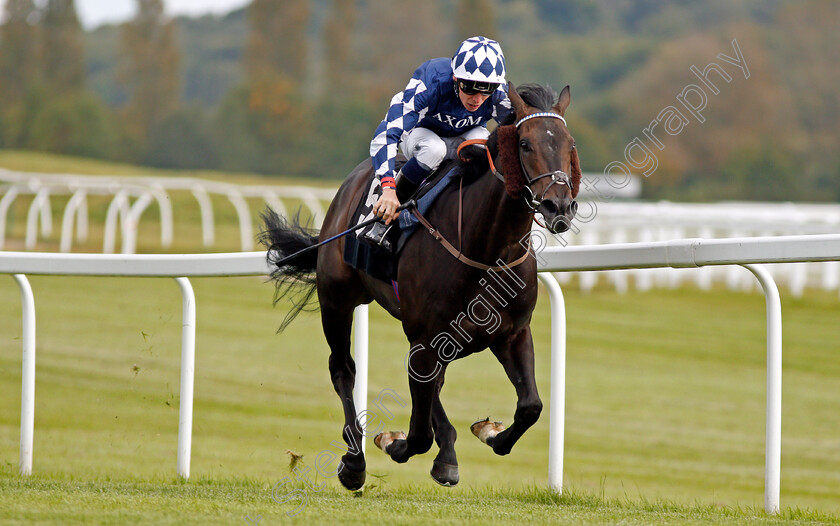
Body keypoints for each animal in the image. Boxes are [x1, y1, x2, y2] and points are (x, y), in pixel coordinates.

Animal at [260, 82, 580, 490]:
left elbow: (530, 407)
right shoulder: (426, 338)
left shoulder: (510, 333)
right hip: (337, 298)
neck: (487, 251)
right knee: (343, 369)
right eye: (524, 144)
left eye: (569, 144)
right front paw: (390, 443)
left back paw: (445, 453)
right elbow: (418, 433)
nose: (560, 207)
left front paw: (490, 434)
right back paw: (354, 462)